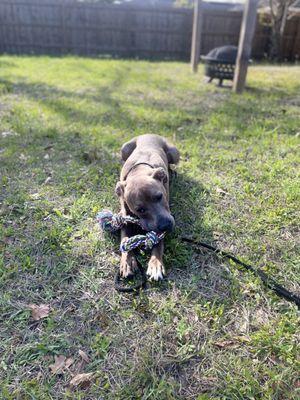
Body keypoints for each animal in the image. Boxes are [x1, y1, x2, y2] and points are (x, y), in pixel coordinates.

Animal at [116, 134, 179, 282]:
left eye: (160, 196)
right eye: (140, 210)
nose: (166, 225)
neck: (138, 172)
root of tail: (149, 134)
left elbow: (159, 243)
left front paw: (155, 264)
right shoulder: (126, 218)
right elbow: (125, 240)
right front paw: (127, 261)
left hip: (174, 153)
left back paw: (172, 172)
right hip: (124, 149)